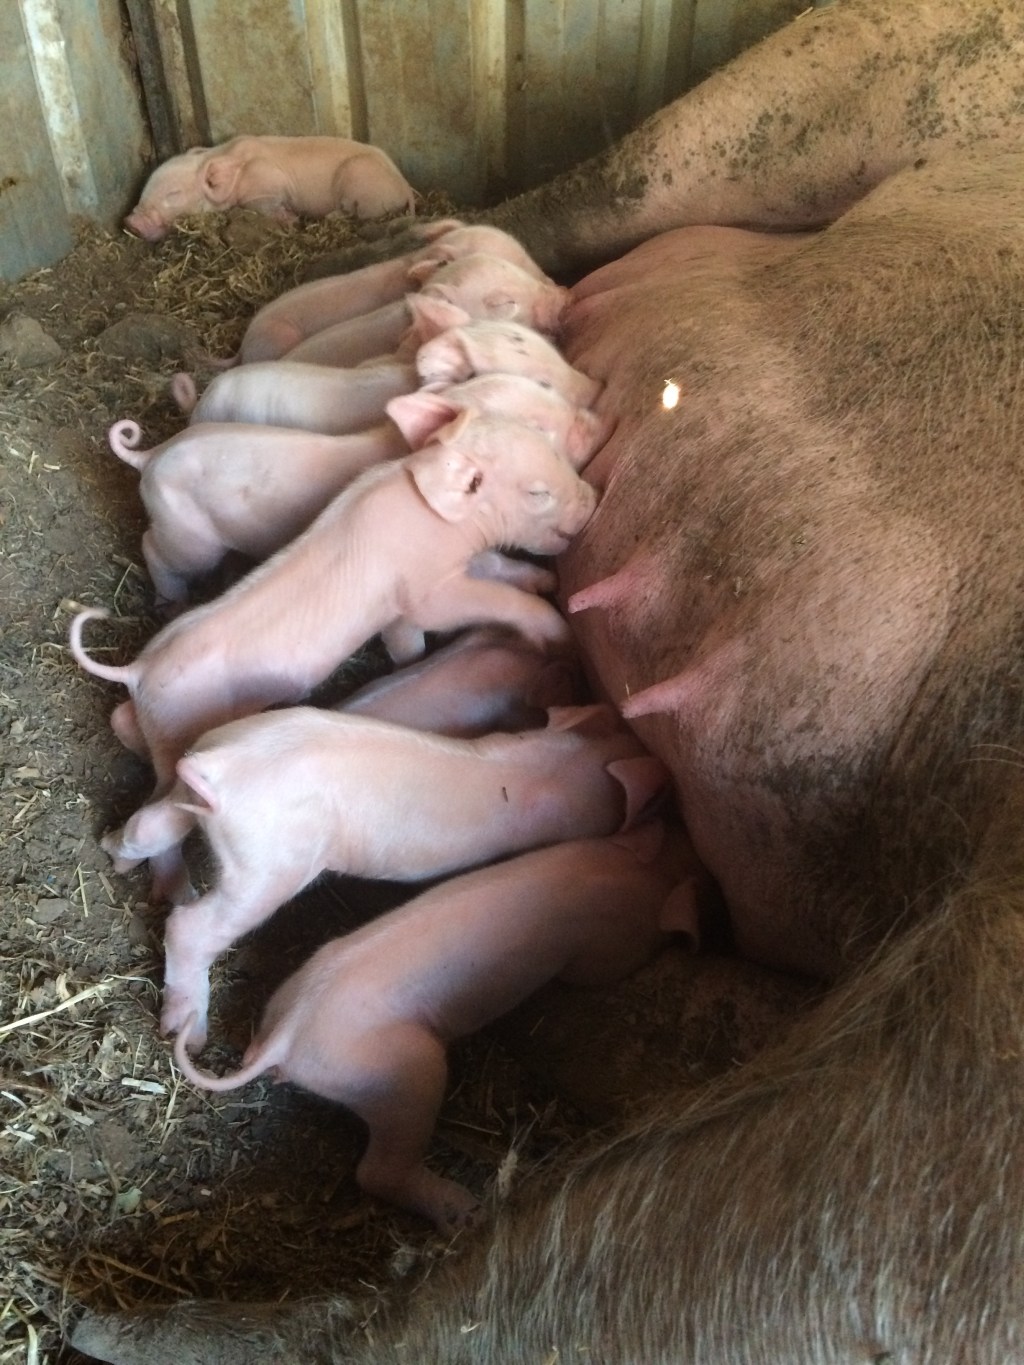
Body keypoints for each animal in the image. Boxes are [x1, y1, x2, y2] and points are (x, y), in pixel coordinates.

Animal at [106, 703, 669, 1043]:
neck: (550, 772)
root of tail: (222, 768)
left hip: (192, 799)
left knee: (149, 825)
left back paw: (114, 852)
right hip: (266, 869)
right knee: (191, 927)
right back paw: (186, 1030)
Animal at [123, 135, 415, 243]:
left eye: (173, 195)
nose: (131, 222)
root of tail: (405, 188)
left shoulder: (265, 188)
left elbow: (271, 205)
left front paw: (292, 221)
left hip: (359, 183)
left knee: (353, 213)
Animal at [171, 824, 698, 1230]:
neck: (624, 868)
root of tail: (287, 1035)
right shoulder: (603, 944)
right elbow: (600, 970)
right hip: (404, 1071)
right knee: (378, 1171)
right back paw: (465, 1210)